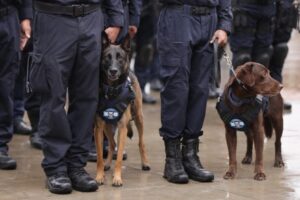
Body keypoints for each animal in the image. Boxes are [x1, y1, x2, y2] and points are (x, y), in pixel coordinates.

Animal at [94, 34, 150, 186]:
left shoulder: (123, 127)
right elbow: (100, 156)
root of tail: (131, 70)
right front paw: (99, 176)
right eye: (107, 57)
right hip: (107, 126)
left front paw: (117, 178)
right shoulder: (99, 127)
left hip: (139, 118)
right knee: (112, 144)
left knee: (141, 142)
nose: (113, 71)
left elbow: (119, 157)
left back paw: (145, 163)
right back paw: (108, 164)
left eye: (120, 58)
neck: (112, 90)